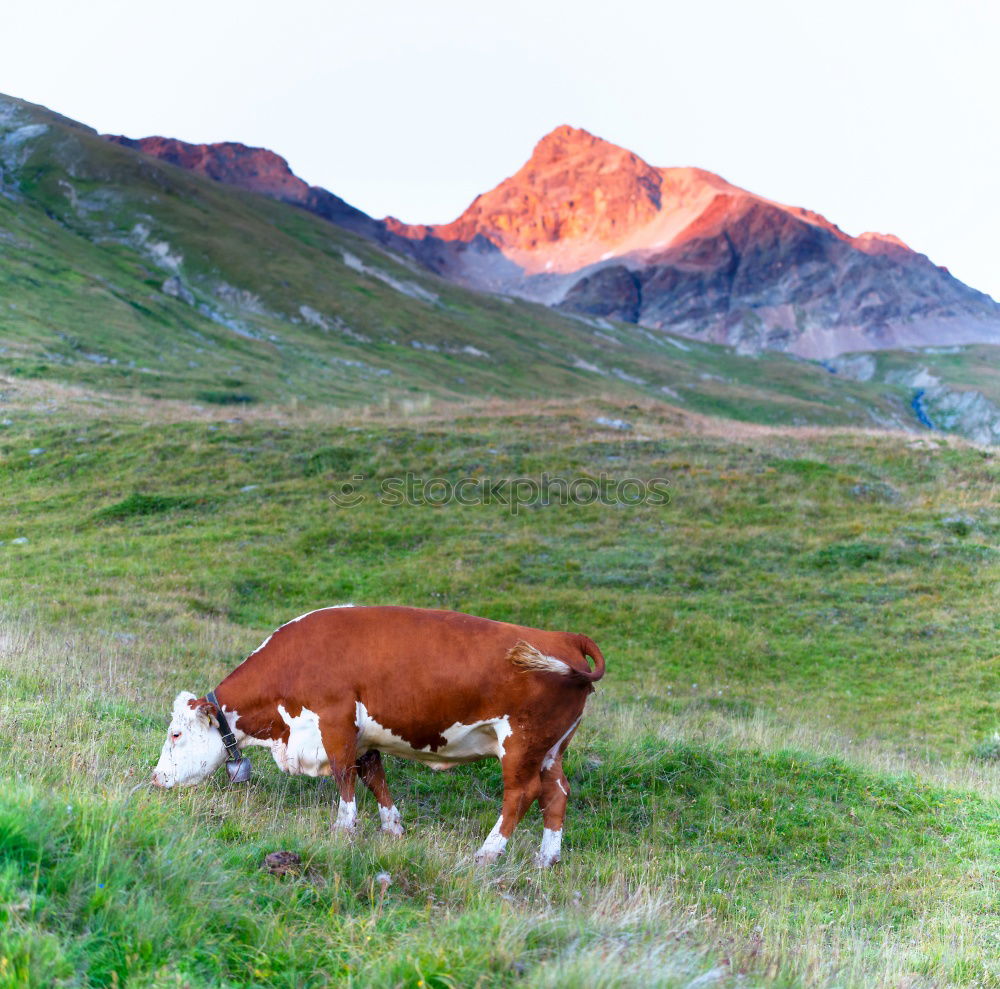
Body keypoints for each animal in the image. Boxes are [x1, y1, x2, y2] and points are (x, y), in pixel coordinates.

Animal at [152, 604, 604, 864]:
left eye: (175, 735)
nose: (155, 778)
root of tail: (563, 636)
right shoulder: (364, 735)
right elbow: (374, 777)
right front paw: (392, 828)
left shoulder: (335, 722)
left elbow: (345, 777)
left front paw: (344, 829)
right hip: (550, 748)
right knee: (556, 792)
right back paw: (547, 859)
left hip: (522, 742)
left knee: (521, 794)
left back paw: (488, 852)